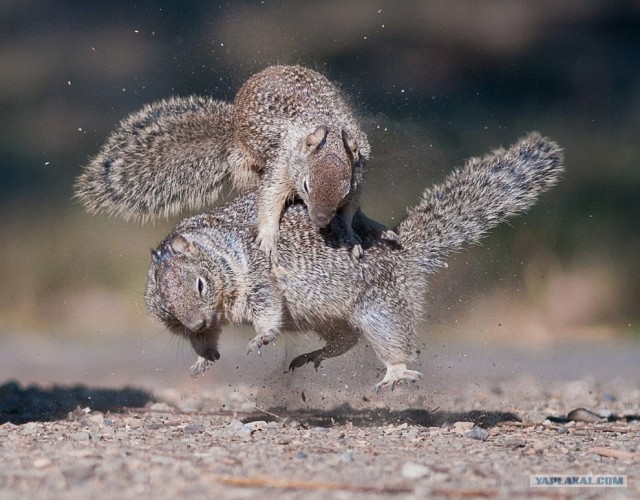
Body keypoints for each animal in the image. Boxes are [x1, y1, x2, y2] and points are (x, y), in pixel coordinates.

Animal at [74, 64, 396, 264]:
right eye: (306, 184)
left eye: (343, 189)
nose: (319, 220)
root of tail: (231, 129)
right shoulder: (280, 167)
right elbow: (269, 199)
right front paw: (268, 238)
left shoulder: (358, 180)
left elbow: (350, 211)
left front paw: (350, 234)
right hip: (244, 165)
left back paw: (373, 225)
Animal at [146, 133, 564, 390]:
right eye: (166, 310)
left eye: (200, 284)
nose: (197, 321)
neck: (219, 252)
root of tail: (407, 256)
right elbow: (205, 339)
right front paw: (205, 358)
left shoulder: (258, 278)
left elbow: (268, 309)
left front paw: (259, 338)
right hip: (329, 316)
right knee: (345, 339)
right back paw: (313, 354)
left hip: (379, 308)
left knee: (393, 342)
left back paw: (395, 374)